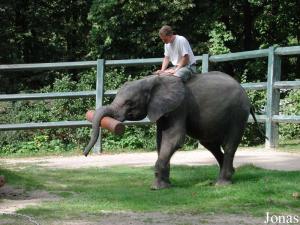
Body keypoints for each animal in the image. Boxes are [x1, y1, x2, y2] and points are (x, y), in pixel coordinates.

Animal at [83, 71, 262, 189]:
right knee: (210, 144)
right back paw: (228, 175)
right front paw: (166, 184)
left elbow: (174, 138)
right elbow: (160, 140)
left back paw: (222, 184)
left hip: (238, 113)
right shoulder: (162, 110)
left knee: (229, 144)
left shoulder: (179, 107)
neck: (152, 81)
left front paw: (157, 188)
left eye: (129, 103)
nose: (85, 154)